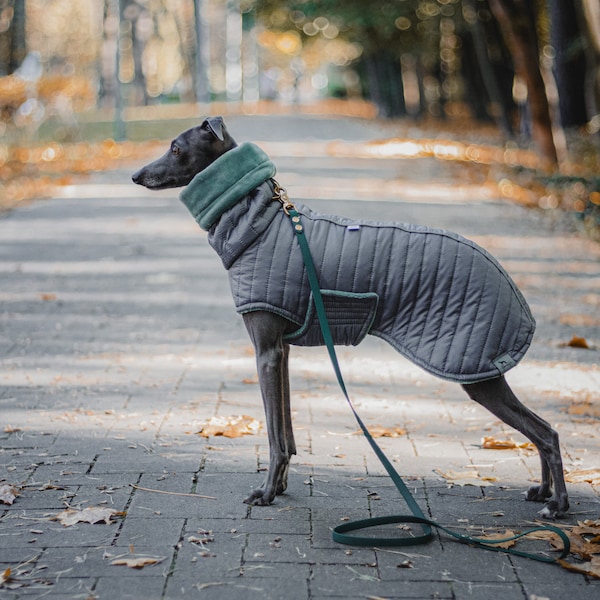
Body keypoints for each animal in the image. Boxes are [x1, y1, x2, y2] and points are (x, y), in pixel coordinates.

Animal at [134, 118, 568, 520]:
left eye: (175, 148)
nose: (136, 175)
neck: (258, 222)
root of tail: (510, 283)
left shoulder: (266, 351)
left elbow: (274, 436)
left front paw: (267, 492)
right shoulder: (282, 351)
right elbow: (286, 432)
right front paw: (282, 485)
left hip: (475, 370)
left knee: (545, 432)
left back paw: (558, 503)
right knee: (544, 429)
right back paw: (542, 492)